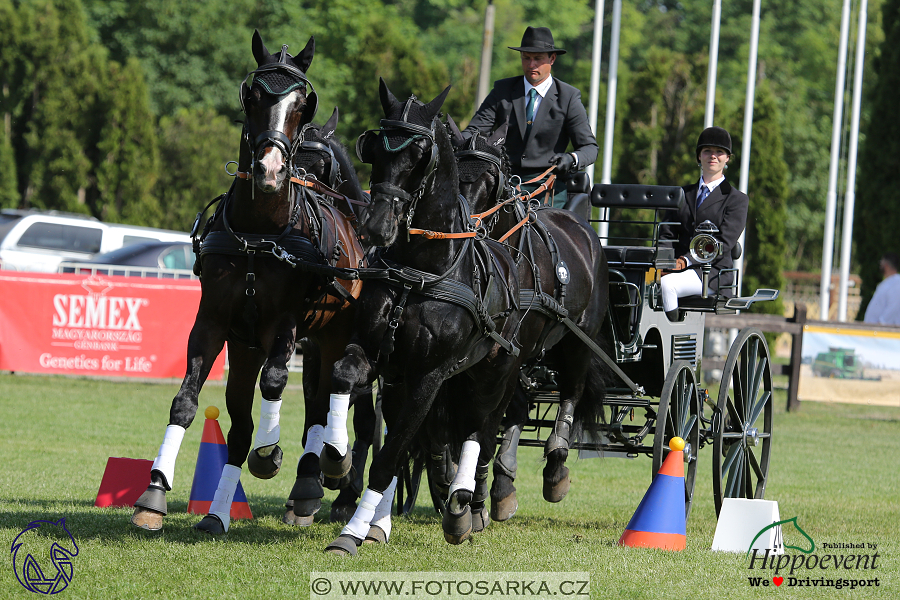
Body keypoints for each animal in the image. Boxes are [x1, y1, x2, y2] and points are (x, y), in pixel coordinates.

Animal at [128, 30, 368, 532]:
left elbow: (276, 382)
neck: (260, 233)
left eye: (302, 104)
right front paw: (154, 492)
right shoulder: (214, 321)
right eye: (253, 95)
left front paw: (270, 453)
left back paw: (318, 475)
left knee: (326, 401)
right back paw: (219, 513)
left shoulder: (288, 323)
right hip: (245, 347)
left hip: (332, 334)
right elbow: (187, 400)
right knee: (240, 426)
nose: (272, 171)